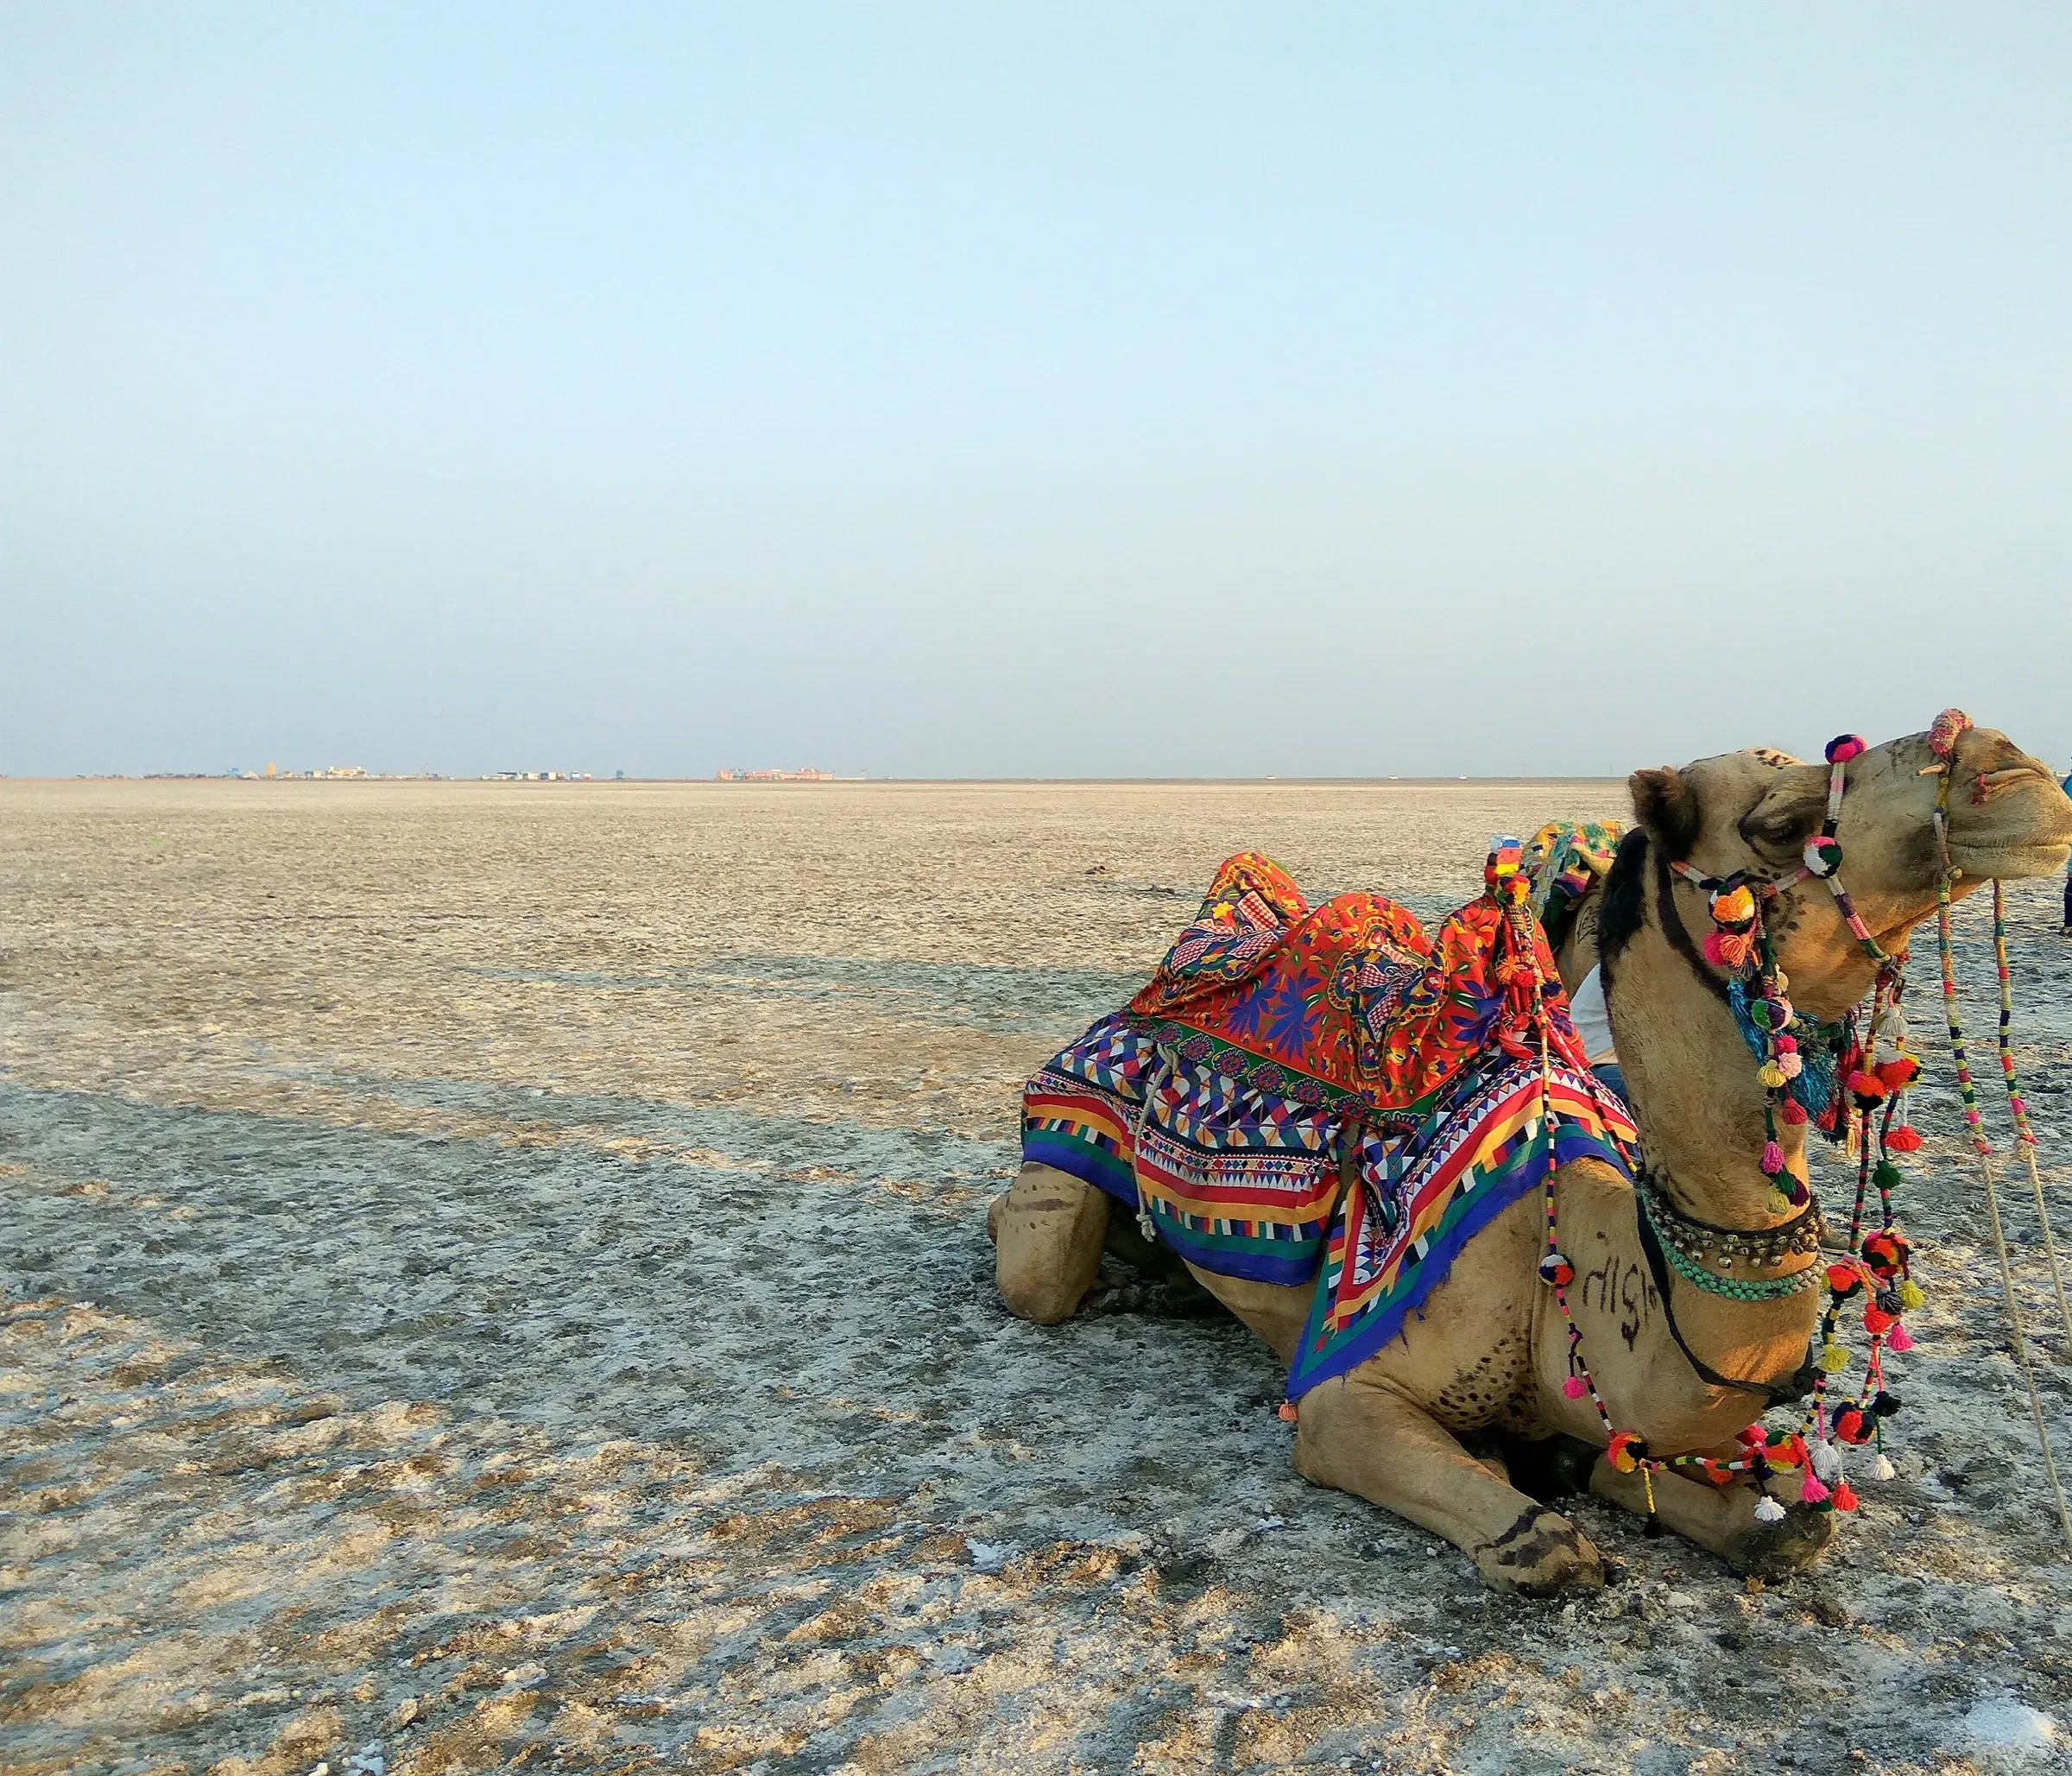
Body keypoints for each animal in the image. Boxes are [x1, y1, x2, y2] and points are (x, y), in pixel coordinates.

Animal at [991, 721, 2072, 1592]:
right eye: (1781, 820)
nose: (2012, 767)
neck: (1585, 1275)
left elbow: (1784, 1524)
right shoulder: (1344, 1395)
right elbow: (1546, 1546)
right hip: (1061, 1149)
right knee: (1034, 1266)